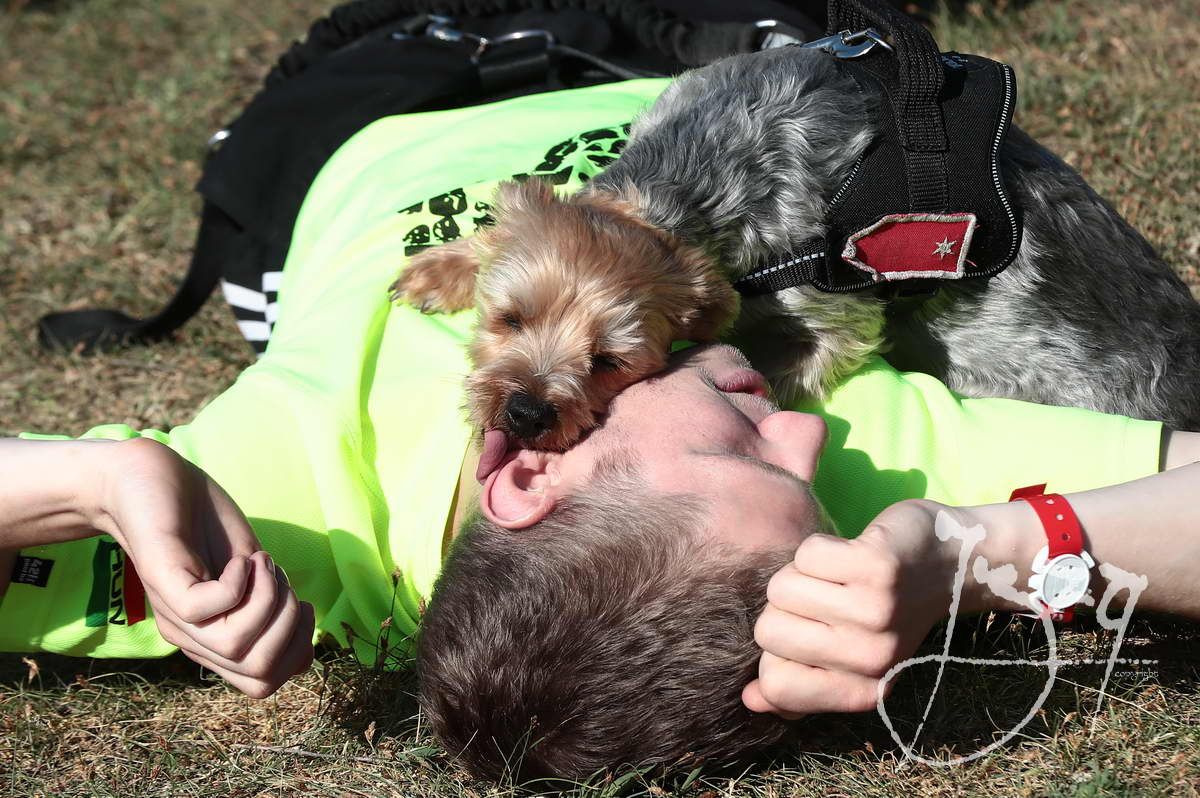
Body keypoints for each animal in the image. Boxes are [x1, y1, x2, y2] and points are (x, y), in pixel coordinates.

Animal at [391, 45, 1200, 471]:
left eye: (613, 363)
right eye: (508, 318)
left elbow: (790, 368)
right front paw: (442, 267)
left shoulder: (836, 311)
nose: (527, 412)